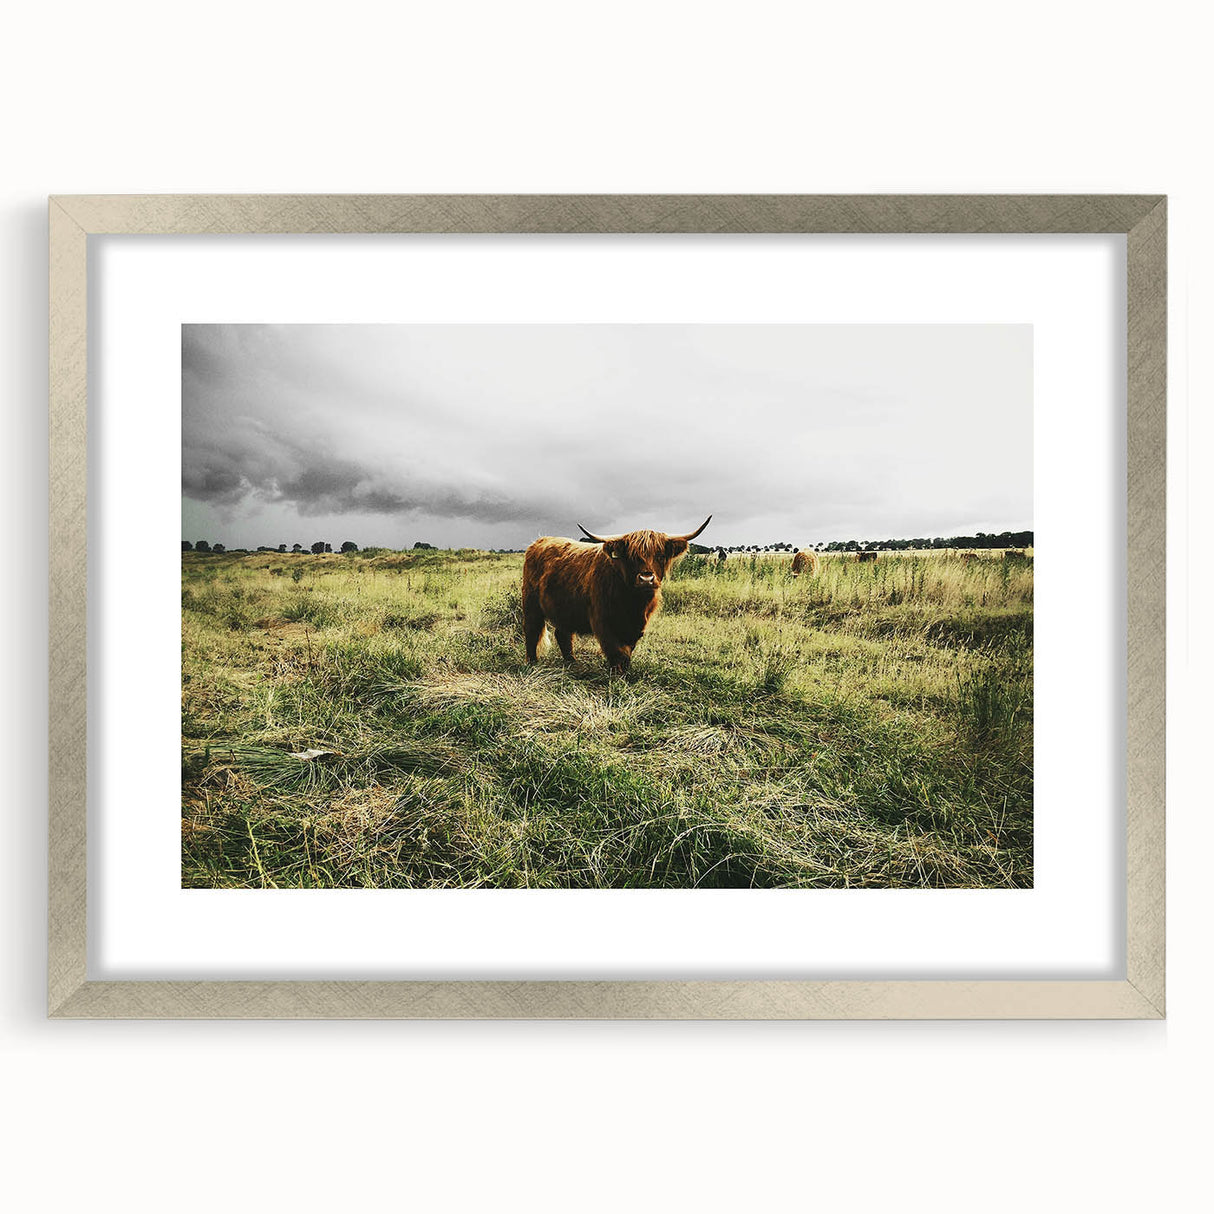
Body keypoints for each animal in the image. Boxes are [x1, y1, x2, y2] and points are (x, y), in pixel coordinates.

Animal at [522, 516, 712, 673]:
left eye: (660, 555)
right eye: (632, 556)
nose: (646, 579)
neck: (633, 604)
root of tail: (539, 541)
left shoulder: (636, 627)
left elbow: (627, 651)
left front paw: (625, 672)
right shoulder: (603, 621)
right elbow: (616, 651)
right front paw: (617, 675)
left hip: (565, 608)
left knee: (563, 634)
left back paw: (572, 663)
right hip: (531, 603)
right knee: (532, 630)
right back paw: (532, 663)